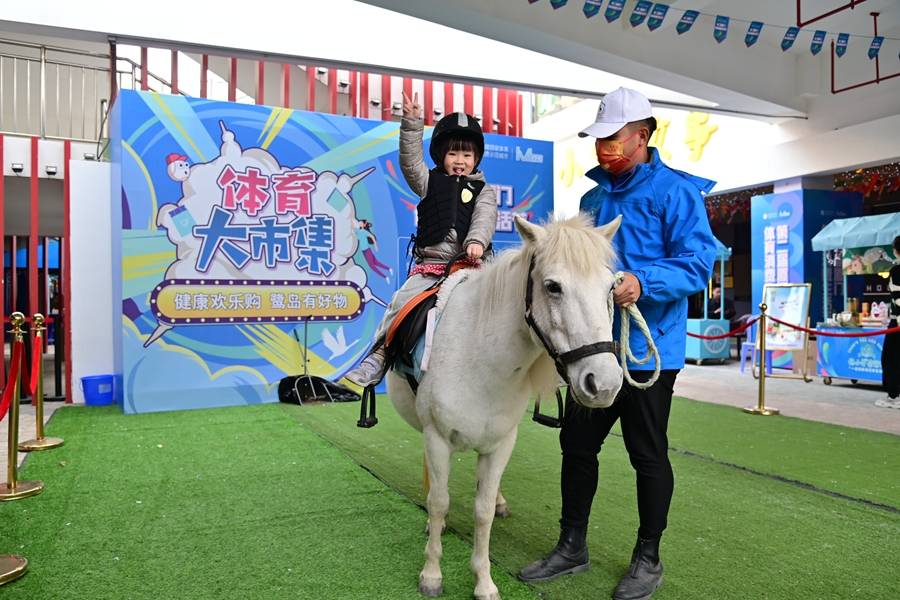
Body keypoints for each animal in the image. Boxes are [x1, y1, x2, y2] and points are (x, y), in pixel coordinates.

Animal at [386, 216, 624, 600]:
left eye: (610, 288)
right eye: (552, 286)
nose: (603, 383)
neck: (480, 358)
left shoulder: (501, 445)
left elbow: (482, 511)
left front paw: (484, 581)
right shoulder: (436, 438)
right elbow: (439, 502)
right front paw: (432, 574)